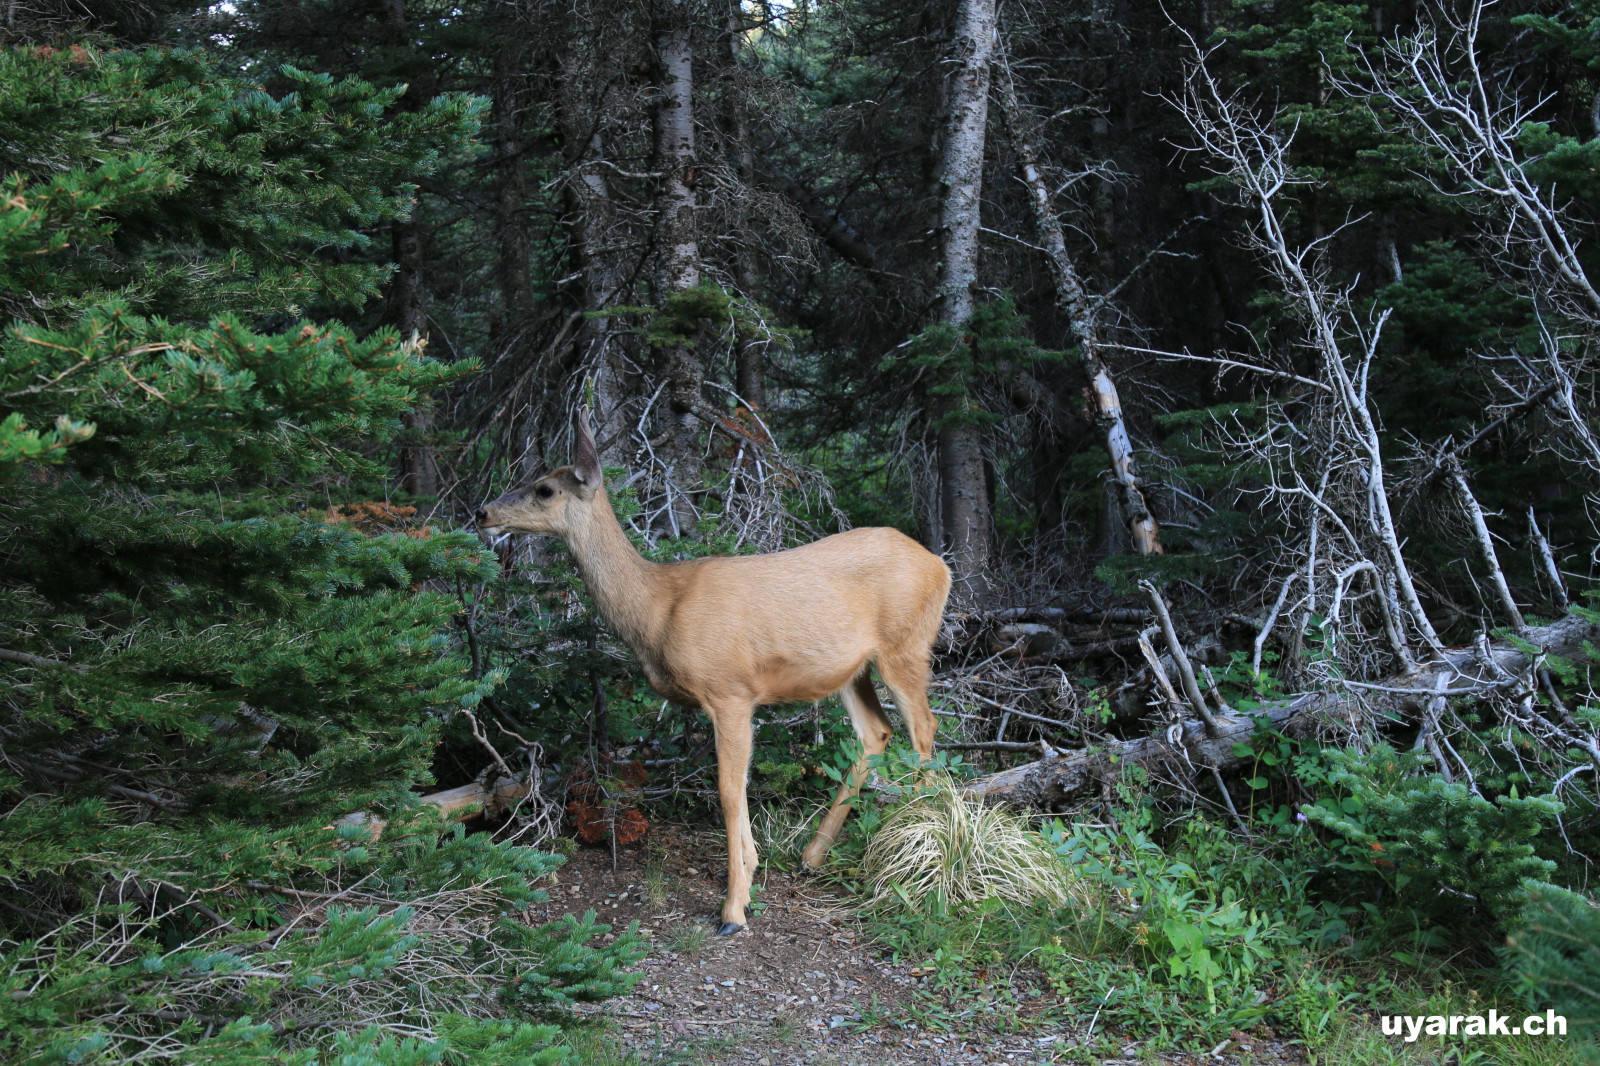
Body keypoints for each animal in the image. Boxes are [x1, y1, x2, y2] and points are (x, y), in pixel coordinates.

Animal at [476, 413, 951, 935]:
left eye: (544, 489)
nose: (481, 512)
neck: (656, 608)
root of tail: (940, 565)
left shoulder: (729, 691)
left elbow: (727, 791)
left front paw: (733, 909)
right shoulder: (730, 700)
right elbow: (738, 786)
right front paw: (753, 866)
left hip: (906, 646)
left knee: (924, 729)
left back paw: (921, 846)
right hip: (850, 669)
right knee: (876, 732)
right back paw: (813, 855)